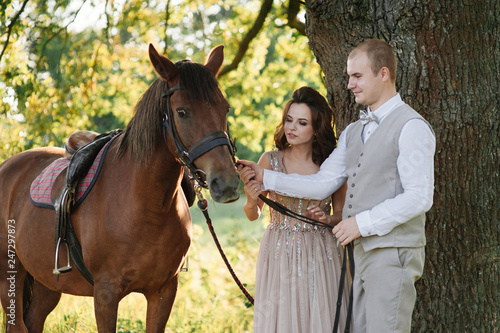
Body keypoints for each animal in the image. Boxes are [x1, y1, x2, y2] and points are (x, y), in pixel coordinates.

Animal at [0, 44, 240, 332]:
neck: (146, 206)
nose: (226, 183)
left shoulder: (163, 292)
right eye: (182, 111)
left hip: (47, 282)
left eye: (225, 108)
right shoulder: (105, 294)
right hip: (9, 278)